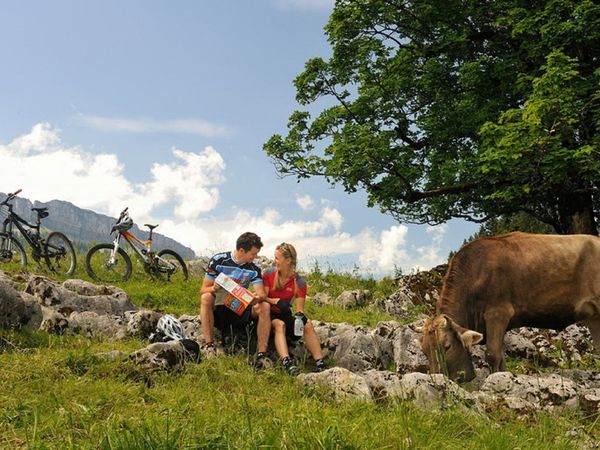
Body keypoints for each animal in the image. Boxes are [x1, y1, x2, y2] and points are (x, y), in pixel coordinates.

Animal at [418, 232, 600, 384]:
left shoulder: (498, 313)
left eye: (447, 346)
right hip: (593, 316)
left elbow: (492, 355)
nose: (437, 379)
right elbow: (501, 357)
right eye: (424, 350)